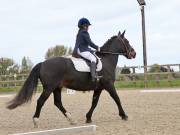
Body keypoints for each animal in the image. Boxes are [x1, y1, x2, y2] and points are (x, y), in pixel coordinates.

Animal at [7, 30, 136, 126]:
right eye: (127, 41)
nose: (134, 53)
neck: (106, 59)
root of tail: (43, 63)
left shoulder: (98, 88)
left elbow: (94, 102)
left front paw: (88, 118)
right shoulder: (109, 85)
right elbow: (117, 99)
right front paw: (124, 115)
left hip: (57, 88)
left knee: (57, 103)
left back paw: (71, 119)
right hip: (49, 88)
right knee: (41, 101)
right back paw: (36, 120)